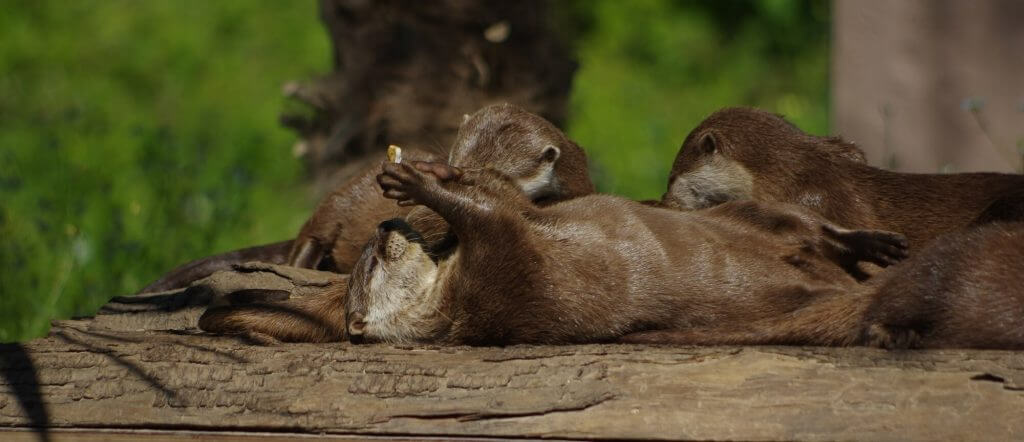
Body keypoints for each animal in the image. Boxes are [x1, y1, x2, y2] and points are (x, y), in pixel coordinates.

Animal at [339, 160, 909, 347]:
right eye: (373, 262)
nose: (383, 228)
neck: (451, 294)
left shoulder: (504, 233)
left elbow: (504, 195)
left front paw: (432, 171)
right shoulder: (500, 263)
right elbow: (486, 212)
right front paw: (416, 183)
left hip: (752, 211)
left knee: (810, 227)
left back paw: (878, 243)